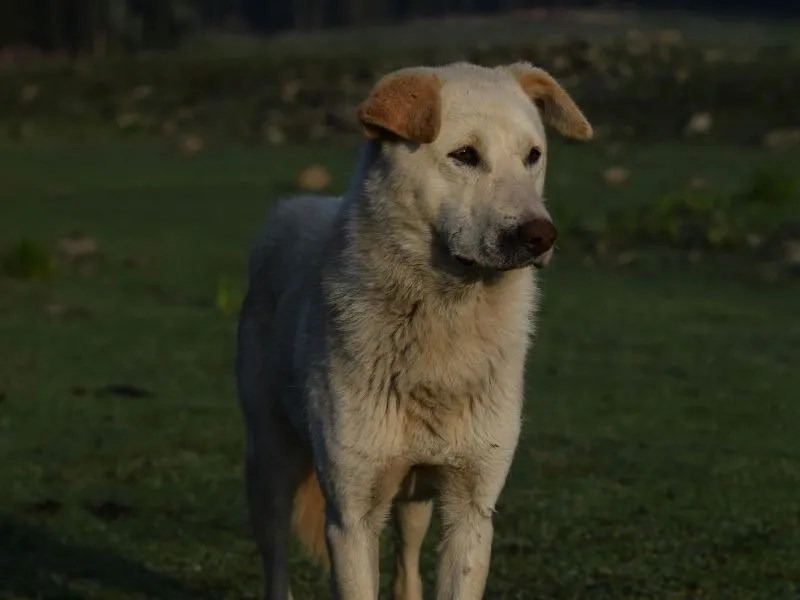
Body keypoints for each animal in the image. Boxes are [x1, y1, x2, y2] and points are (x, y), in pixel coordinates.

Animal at [234, 62, 592, 600]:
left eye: (533, 156)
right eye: (465, 155)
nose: (541, 236)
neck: (441, 322)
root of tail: (292, 207)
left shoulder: (470, 509)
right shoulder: (351, 518)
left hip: (415, 498)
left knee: (406, 565)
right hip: (269, 466)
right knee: (275, 560)